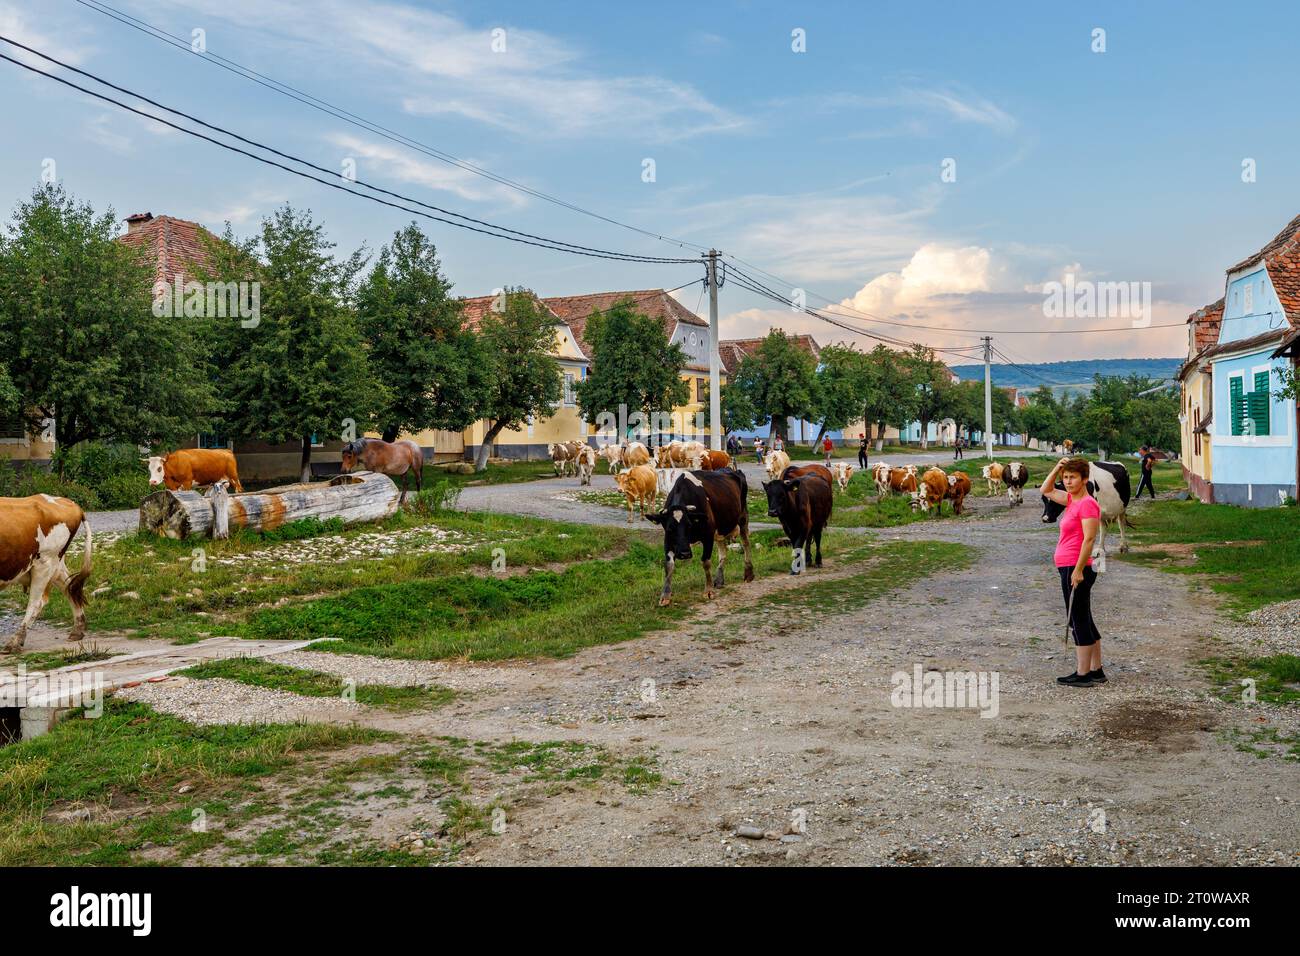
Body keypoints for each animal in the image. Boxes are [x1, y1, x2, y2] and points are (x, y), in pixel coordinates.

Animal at [0, 496, 92, 655]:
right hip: (55, 564)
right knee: (70, 588)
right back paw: (77, 631)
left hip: (45, 562)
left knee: (36, 603)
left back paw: (15, 642)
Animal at [647, 468, 759, 606]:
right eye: (670, 528)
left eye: (689, 525)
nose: (684, 554)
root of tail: (732, 470)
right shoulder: (668, 540)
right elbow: (669, 565)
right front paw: (665, 596)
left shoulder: (708, 535)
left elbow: (706, 562)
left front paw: (708, 591)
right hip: (720, 529)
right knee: (723, 552)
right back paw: (719, 580)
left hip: (743, 517)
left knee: (746, 543)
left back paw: (748, 573)